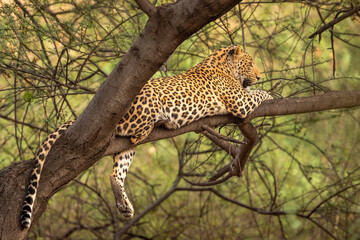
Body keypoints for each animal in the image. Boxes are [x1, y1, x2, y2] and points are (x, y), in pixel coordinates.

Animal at [20, 45, 272, 229]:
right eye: (250, 64)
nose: (260, 76)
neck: (223, 66)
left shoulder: (240, 98)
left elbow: (253, 92)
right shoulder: (239, 103)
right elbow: (257, 94)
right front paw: (270, 93)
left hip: (125, 150)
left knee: (115, 173)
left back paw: (124, 206)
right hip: (148, 104)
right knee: (134, 135)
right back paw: (162, 122)